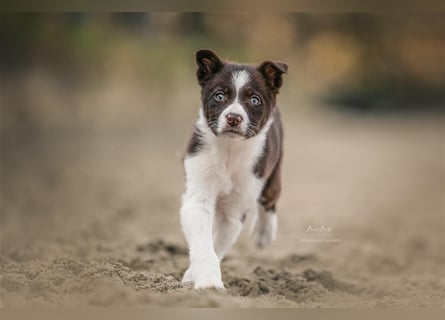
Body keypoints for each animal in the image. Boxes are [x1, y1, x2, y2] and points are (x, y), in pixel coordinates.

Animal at [179, 48, 286, 288]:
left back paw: (263, 234)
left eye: (254, 100)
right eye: (220, 96)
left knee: (270, 199)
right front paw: (206, 282)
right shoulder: (198, 195)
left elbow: (217, 245)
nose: (234, 118)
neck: (229, 149)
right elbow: (204, 242)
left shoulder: (236, 208)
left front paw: (199, 278)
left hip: (271, 173)